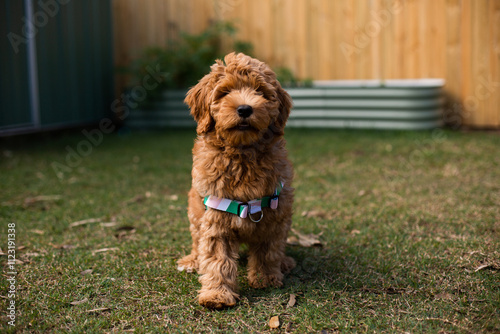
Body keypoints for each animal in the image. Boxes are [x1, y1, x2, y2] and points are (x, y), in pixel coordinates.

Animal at [178, 52, 294, 308]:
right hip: (194, 214)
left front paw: (266, 278)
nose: (244, 109)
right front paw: (217, 294)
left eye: (260, 91)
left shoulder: (273, 209)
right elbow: (217, 258)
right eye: (224, 92)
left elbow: (268, 249)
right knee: (197, 242)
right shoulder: (216, 217)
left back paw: (284, 262)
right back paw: (192, 261)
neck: (242, 154)